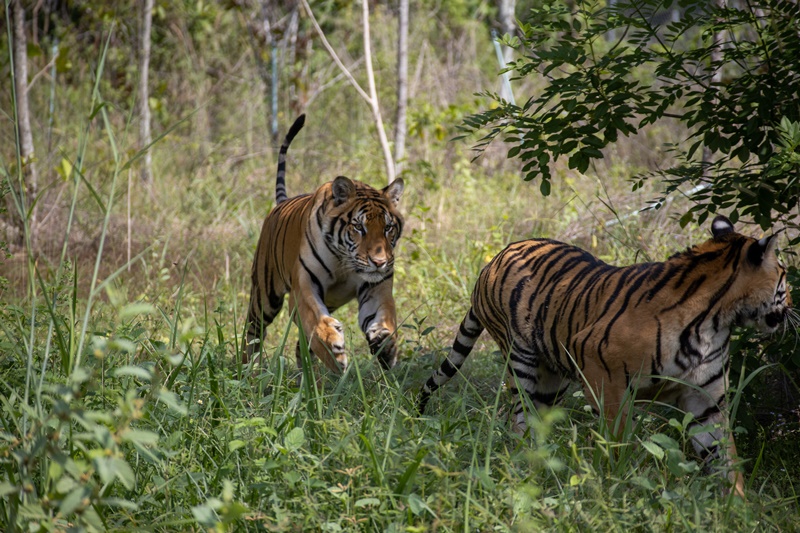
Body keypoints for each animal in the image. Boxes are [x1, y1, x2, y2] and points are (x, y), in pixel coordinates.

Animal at [244, 112, 406, 372]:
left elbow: (384, 314)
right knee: (252, 330)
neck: (344, 261)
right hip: (265, 295)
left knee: (300, 345)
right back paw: (249, 368)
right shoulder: (304, 286)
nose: (380, 262)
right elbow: (315, 321)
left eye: (388, 228)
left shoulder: (376, 287)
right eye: (359, 227)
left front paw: (386, 345)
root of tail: (282, 202)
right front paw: (334, 350)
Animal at [422, 215, 792, 494]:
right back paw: (524, 467)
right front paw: (624, 482)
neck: (715, 320)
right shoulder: (600, 368)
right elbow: (620, 437)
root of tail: (496, 257)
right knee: (518, 420)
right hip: (522, 362)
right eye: (785, 279)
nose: (790, 306)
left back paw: (540, 466)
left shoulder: (707, 399)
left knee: (531, 420)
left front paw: (737, 508)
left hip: (551, 378)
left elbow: (724, 456)